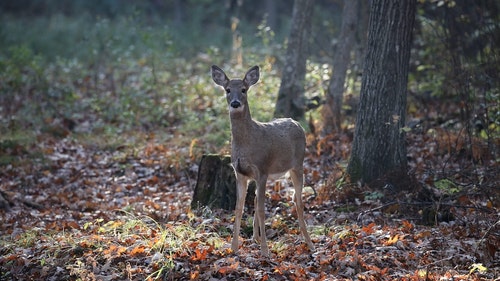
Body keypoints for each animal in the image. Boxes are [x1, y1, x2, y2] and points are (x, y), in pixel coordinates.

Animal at [212, 64, 314, 256]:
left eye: (243, 89)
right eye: (227, 89)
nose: (235, 103)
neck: (247, 143)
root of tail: (297, 123)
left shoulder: (262, 169)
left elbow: (261, 210)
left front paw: (265, 251)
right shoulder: (240, 173)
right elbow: (239, 208)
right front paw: (234, 247)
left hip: (297, 165)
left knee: (298, 202)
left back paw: (310, 243)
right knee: (258, 200)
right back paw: (255, 238)